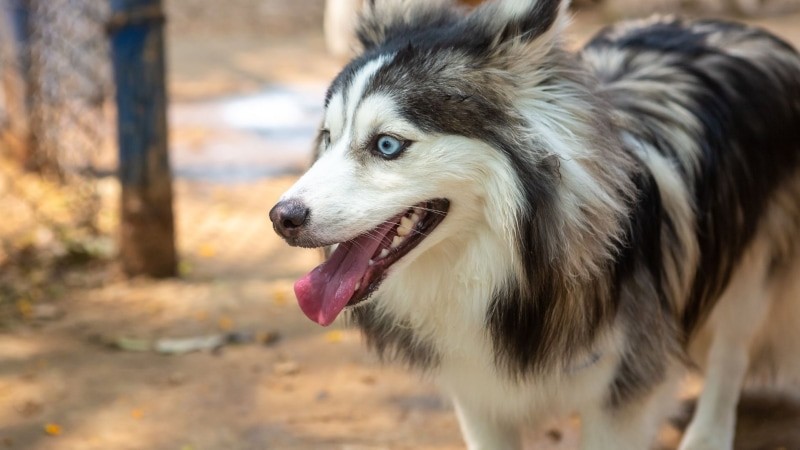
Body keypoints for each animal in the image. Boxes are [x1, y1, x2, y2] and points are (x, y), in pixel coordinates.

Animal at [270, 1, 800, 448]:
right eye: (327, 137)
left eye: (387, 145)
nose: (282, 218)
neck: (512, 267)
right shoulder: (479, 395)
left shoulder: (621, 397)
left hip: (749, 272)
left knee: (731, 354)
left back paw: (708, 434)